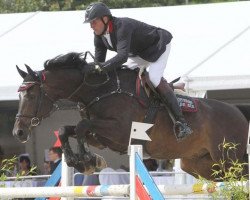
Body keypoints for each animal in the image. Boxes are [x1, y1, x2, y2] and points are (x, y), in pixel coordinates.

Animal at [12, 52, 250, 180]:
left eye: (31, 94)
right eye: (20, 94)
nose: (18, 132)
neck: (99, 90)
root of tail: (239, 113)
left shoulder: (119, 132)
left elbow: (81, 125)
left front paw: (87, 160)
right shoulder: (100, 137)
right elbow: (67, 129)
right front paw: (81, 161)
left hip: (229, 159)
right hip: (198, 164)